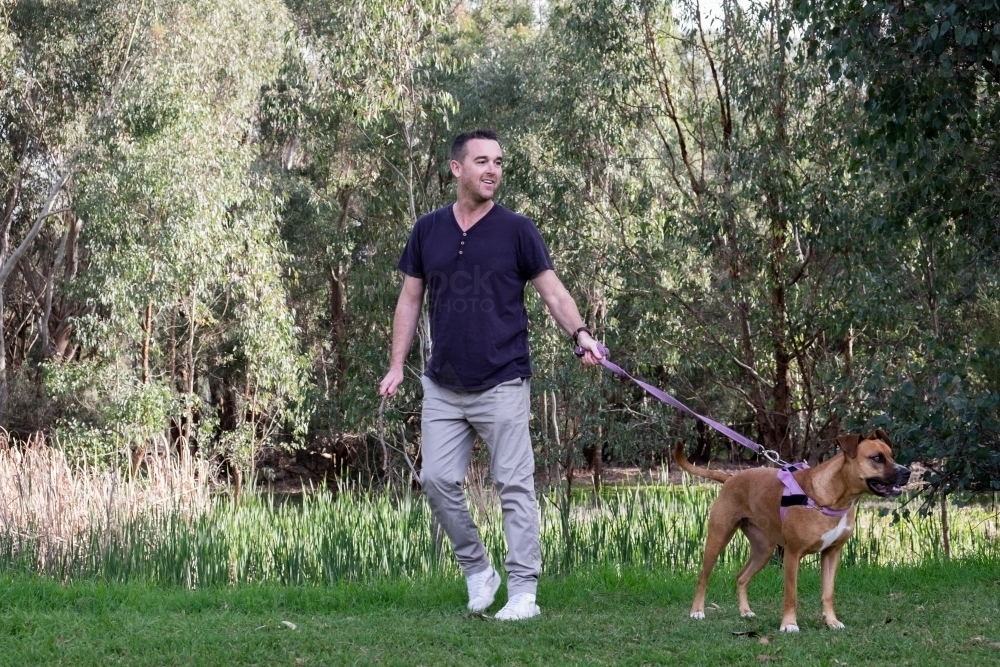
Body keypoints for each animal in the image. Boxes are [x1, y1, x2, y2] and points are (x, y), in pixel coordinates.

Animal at [676, 430, 912, 636]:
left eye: (892, 455)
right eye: (877, 458)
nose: (907, 472)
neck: (831, 497)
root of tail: (730, 478)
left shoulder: (831, 553)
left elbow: (828, 593)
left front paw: (831, 622)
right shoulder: (792, 554)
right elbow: (791, 594)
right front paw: (789, 624)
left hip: (763, 550)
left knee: (742, 577)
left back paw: (745, 611)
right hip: (718, 539)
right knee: (703, 577)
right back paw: (697, 611)